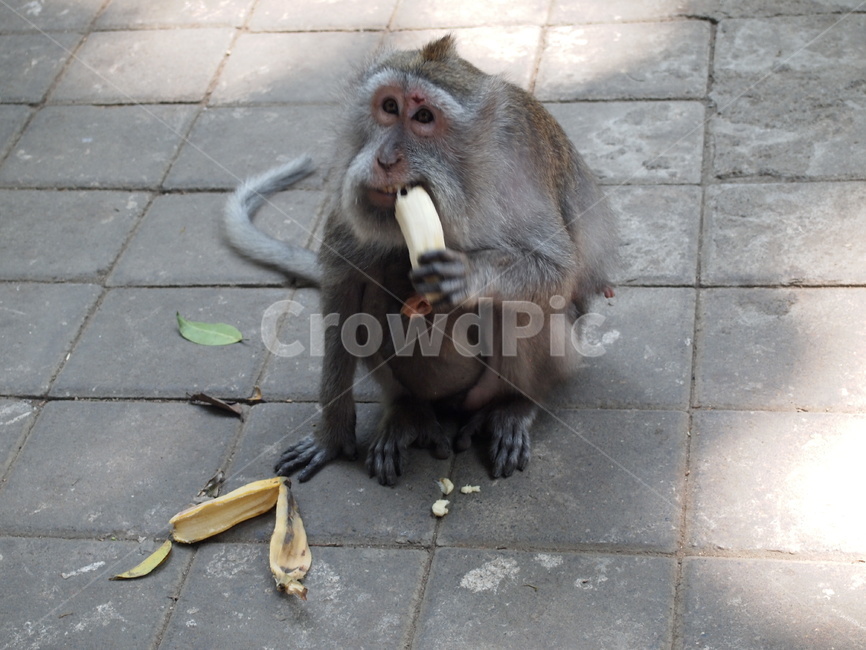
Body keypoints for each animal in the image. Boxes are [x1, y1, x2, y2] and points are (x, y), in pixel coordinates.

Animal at [223, 35, 617, 486]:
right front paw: (333, 434)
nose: (385, 159)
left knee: (519, 310)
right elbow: (344, 291)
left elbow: (556, 270)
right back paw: (407, 412)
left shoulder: (517, 171)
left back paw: (512, 406)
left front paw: (468, 276)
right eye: (389, 107)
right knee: (374, 289)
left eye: (424, 116)